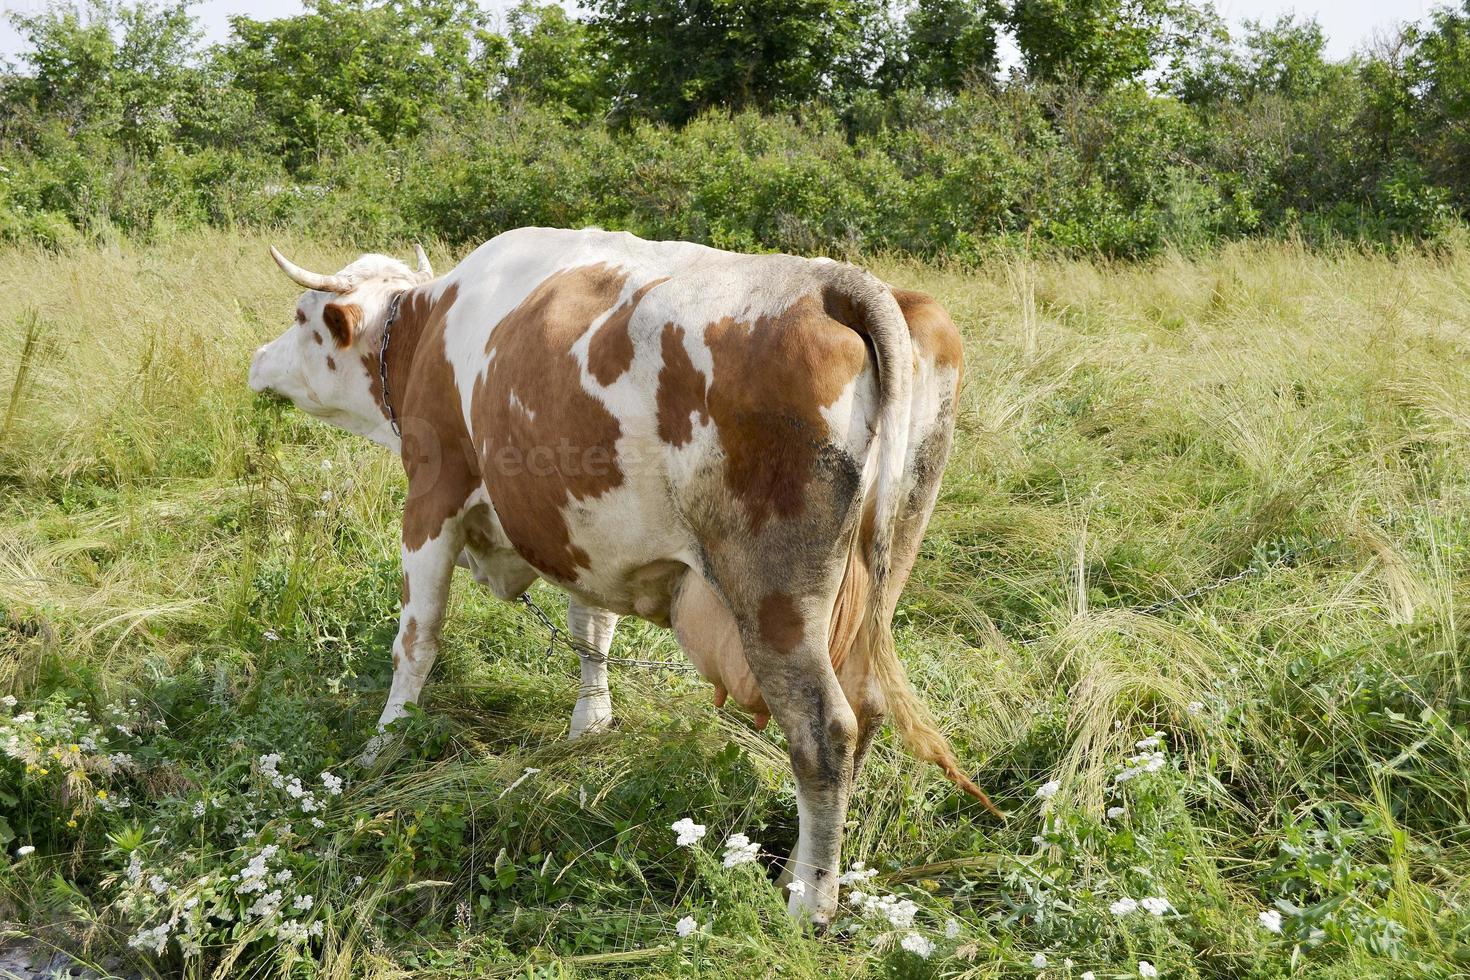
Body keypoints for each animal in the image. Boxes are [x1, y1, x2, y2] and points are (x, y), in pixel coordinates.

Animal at [249, 226, 999, 922]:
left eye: (300, 318)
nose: (257, 361)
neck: (425, 332)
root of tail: (831, 283)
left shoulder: (432, 496)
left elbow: (417, 640)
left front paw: (383, 747)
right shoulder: (586, 535)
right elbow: (593, 629)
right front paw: (590, 725)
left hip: (775, 597)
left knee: (825, 731)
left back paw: (807, 900)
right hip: (879, 578)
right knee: (867, 708)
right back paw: (805, 871)